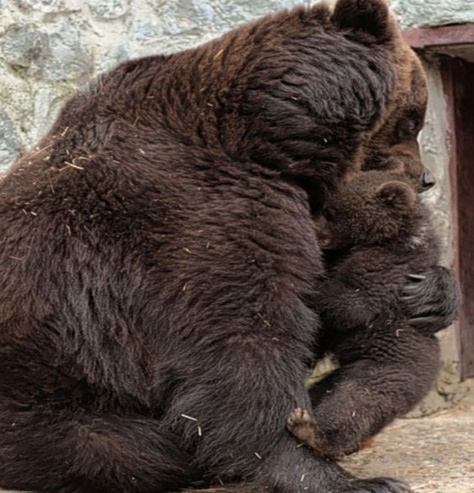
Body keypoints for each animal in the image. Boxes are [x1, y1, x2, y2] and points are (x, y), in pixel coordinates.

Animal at [0, 0, 460, 492]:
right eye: (412, 120)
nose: (427, 178)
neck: (267, 139)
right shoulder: (192, 217)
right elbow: (242, 343)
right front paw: (336, 475)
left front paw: (433, 294)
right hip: (52, 392)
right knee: (124, 447)